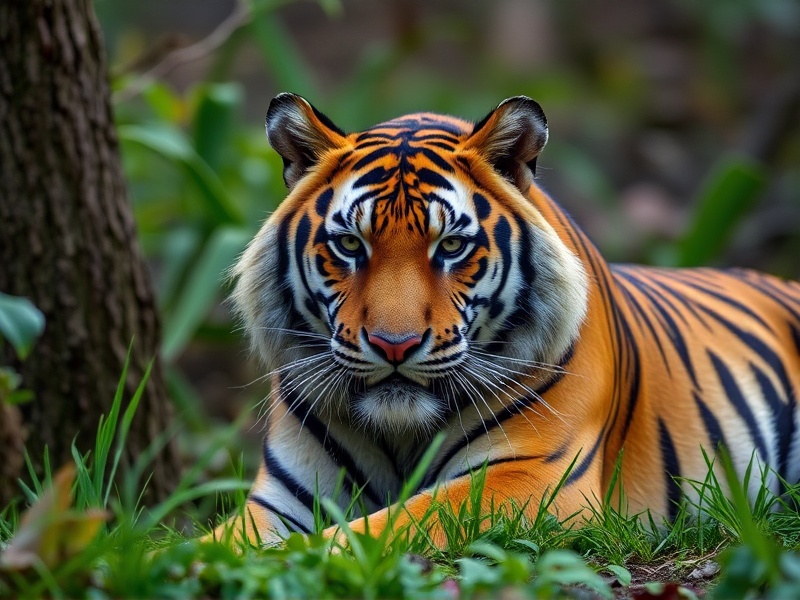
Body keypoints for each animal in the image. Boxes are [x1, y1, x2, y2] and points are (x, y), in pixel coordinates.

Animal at [217, 92, 800, 548]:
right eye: (349, 245)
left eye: (451, 247)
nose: (394, 345)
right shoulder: (280, 498)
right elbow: (222, 541)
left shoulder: (531, 478)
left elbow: (375, 530)